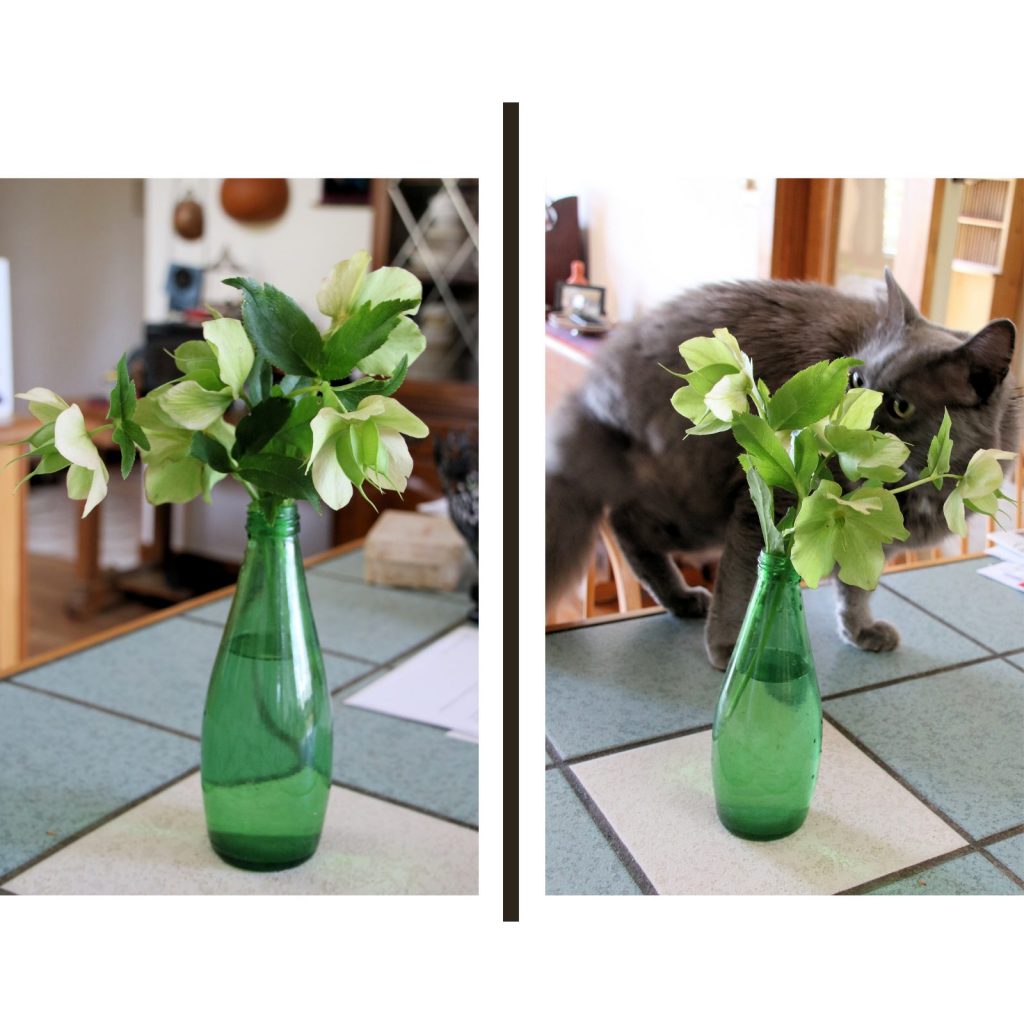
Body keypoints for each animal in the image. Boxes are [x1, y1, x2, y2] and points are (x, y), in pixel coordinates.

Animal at [548, 270, 1019, 671]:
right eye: (856, 381)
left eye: (901, 406)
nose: (843, 423)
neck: (911, 487)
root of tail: (596, 389)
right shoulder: (765, 511)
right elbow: (739, 585)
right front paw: (729, 648)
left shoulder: (865, 538)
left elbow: (857, 587)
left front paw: (861, 630)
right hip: (698, 505)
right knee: (623, 523)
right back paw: (683, 598)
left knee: (627, 522)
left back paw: (680, 600)